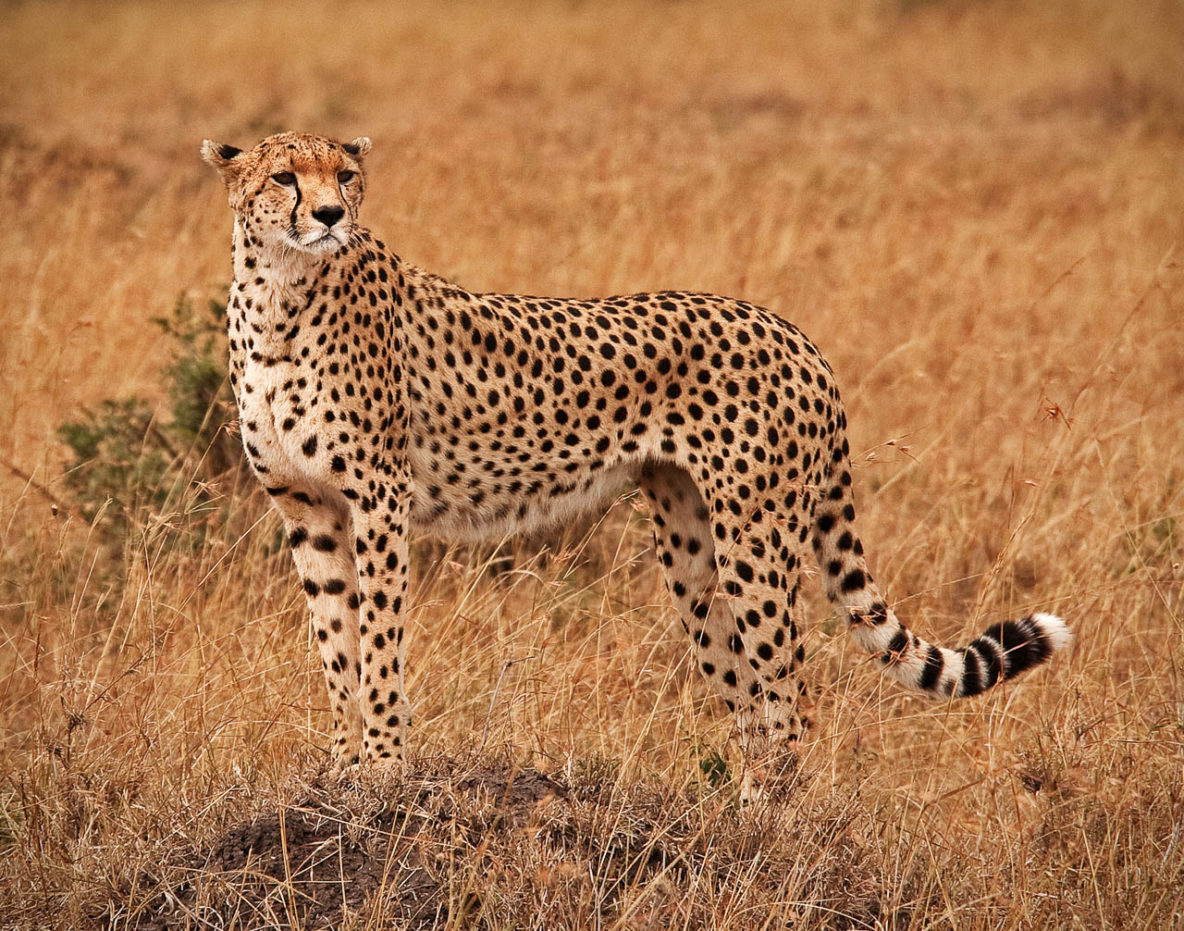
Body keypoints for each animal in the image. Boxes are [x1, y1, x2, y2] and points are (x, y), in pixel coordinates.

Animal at [203, 128, 1075, 767]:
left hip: (756, 535)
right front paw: (343, 766)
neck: (281, 291)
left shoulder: (380, 500)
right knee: (748, 703)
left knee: (790, 704)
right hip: (689, 544)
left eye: (345, 174)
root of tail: (793, 331)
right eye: (284, 178)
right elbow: (335, 646)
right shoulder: (307, 507)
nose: (327, 215)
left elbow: (379, 642)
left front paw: (384, 767)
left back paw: (776, 845)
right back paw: (735, 827)